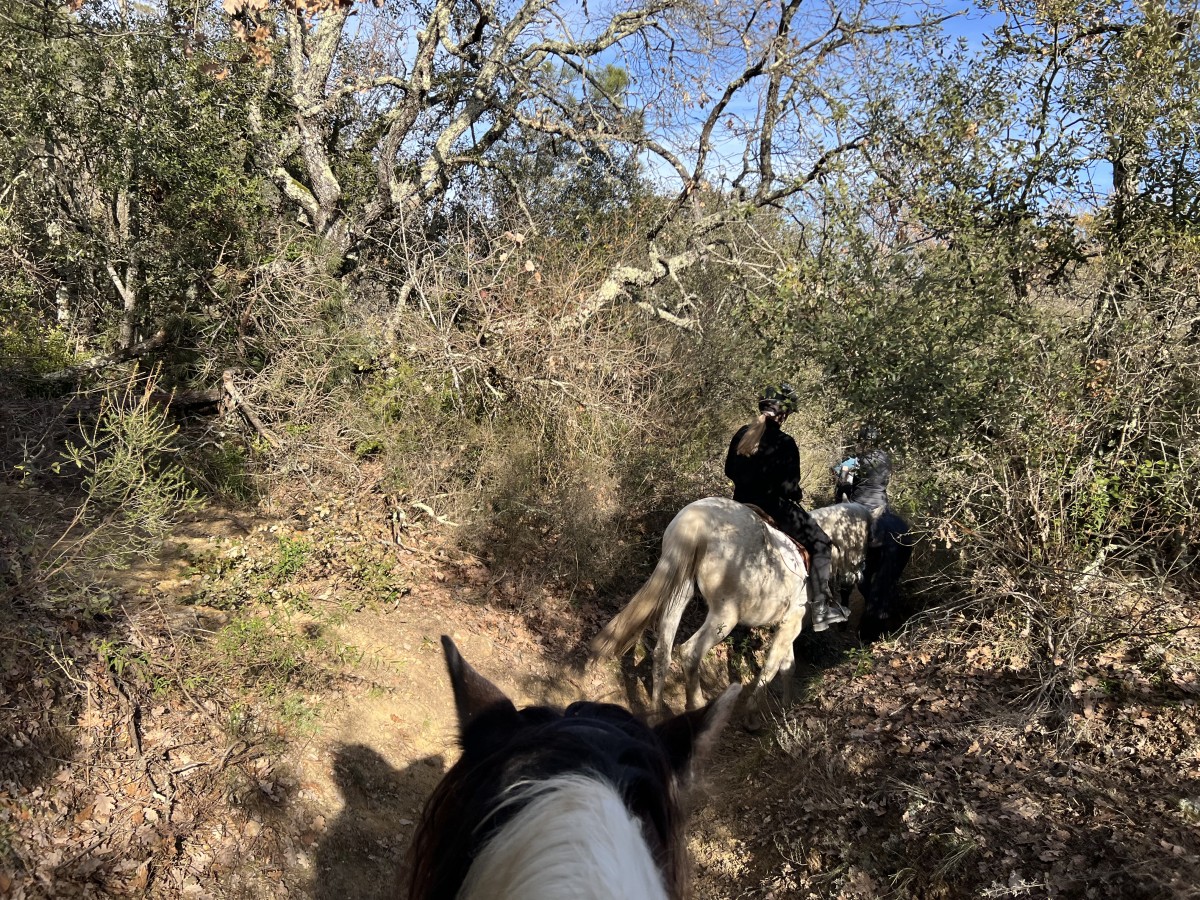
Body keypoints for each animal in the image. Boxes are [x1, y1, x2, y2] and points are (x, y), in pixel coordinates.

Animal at [588, 498, 872, 722]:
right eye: (865, 538)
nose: (858, 577)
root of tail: (698, 518)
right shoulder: (791, 623)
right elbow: (771, 666)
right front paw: (753, 714)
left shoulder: (787, 625)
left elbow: (787, 666)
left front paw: (786, 708)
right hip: (725, 615)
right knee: (690, 652)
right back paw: (697, 705)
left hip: (680, 592)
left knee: (662, 653)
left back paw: (656, 714)